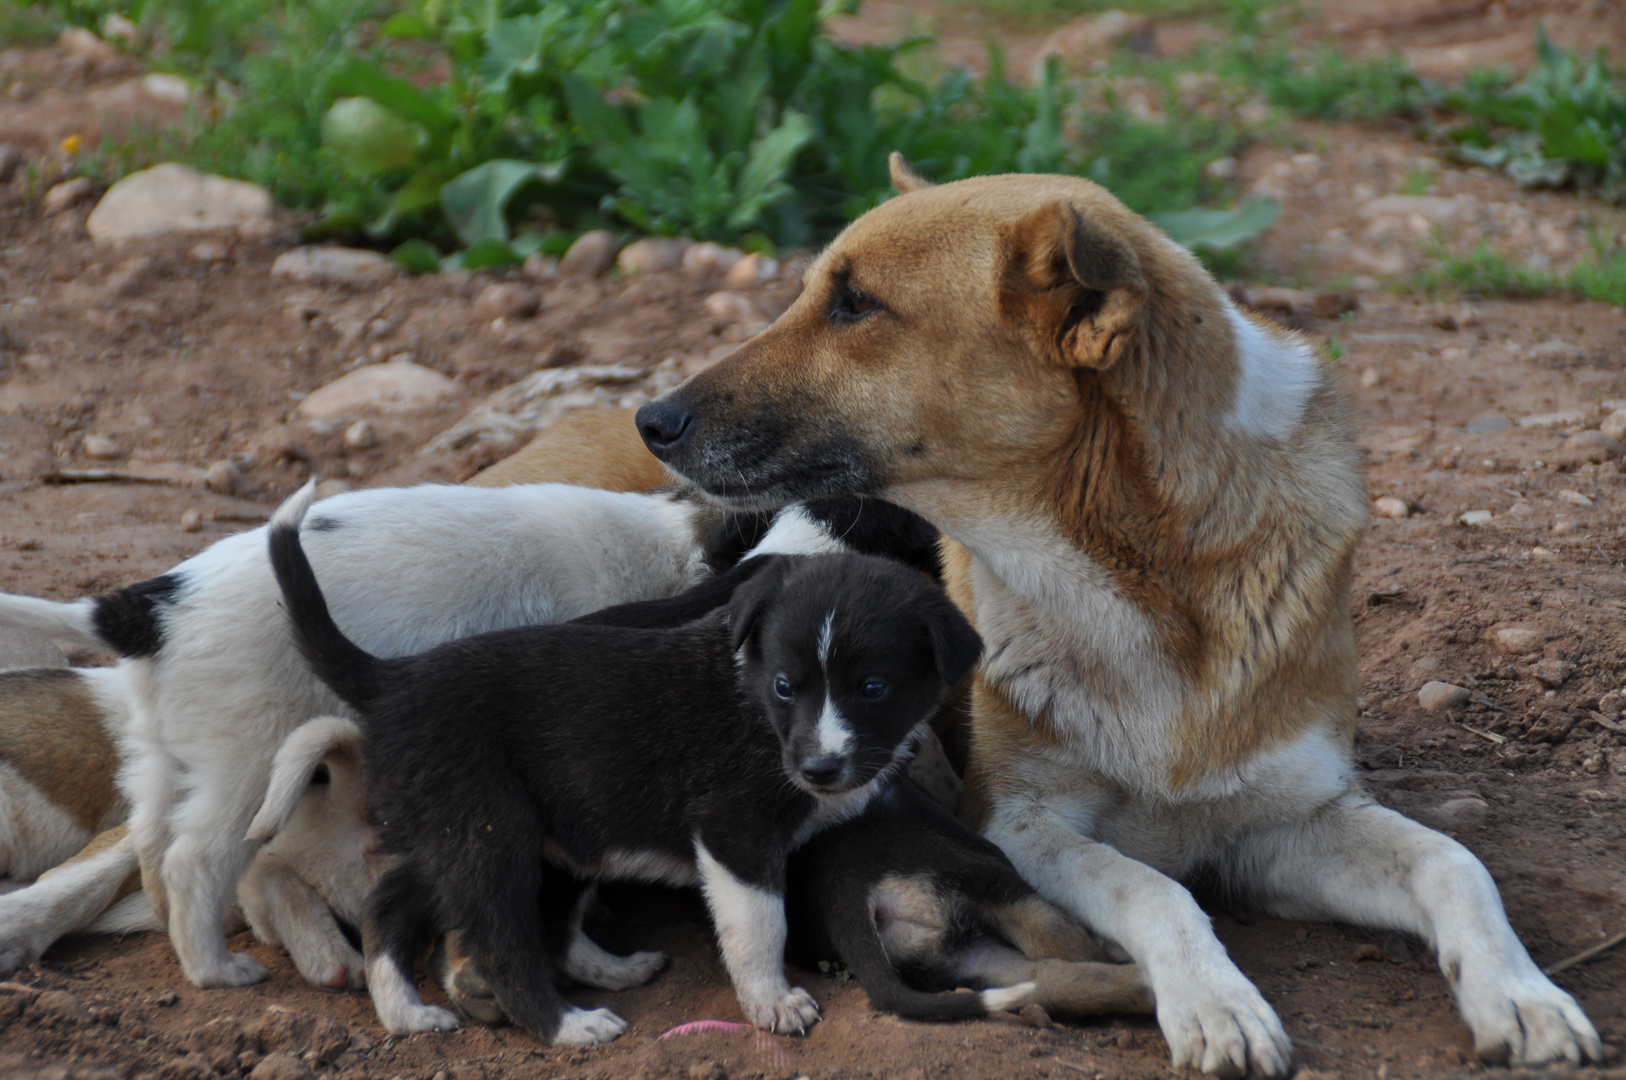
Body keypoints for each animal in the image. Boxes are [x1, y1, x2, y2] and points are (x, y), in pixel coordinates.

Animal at [269, 487, 975, 1047]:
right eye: (784, 686)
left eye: (873, 689)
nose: (820, 770)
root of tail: (394, 679)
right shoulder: (734, 833)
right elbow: (759, 927)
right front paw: (774, 1005)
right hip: (491, 835)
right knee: (501, 945)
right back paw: (569, 1027)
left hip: (479, 833)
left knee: (394, 906)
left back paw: (416, 1011)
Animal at [634, 156, 1599, 1073]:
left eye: (856, 304)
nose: (653, 418)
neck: (1145, 582)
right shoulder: (1019, 821)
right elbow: (1153, 887)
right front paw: (1215, 1001)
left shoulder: (1286, 822)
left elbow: (1454, 861)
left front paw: (1521, 995)